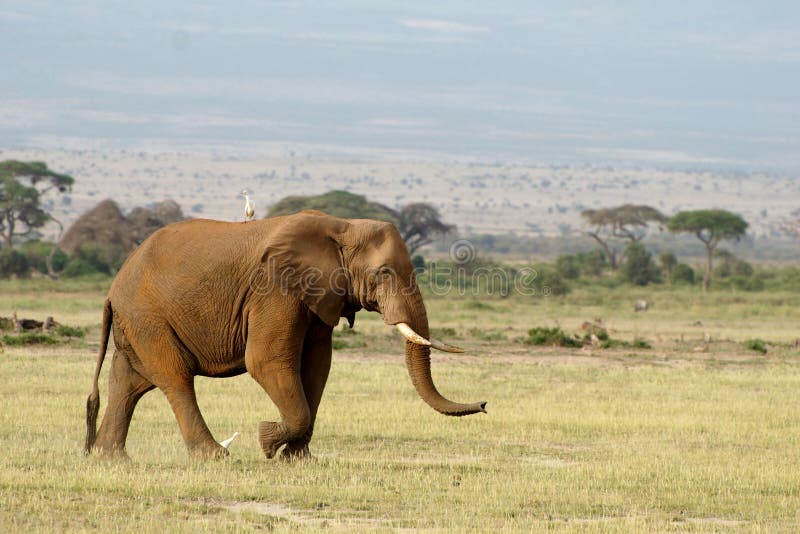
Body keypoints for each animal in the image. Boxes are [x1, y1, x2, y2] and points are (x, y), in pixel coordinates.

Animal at [84, 210, 486, 460]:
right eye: (384, 272)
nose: (483, 404)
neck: (343, 227)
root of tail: (112, 289)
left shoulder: (321, 295)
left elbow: (317, 367)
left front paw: (300, 459)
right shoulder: (275, 290)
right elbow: (265, 361)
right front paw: (266, 441)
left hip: (136, 321)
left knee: (129, 382)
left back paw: (111, 459)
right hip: (147, 316)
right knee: (175, 377)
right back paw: (216, 456)